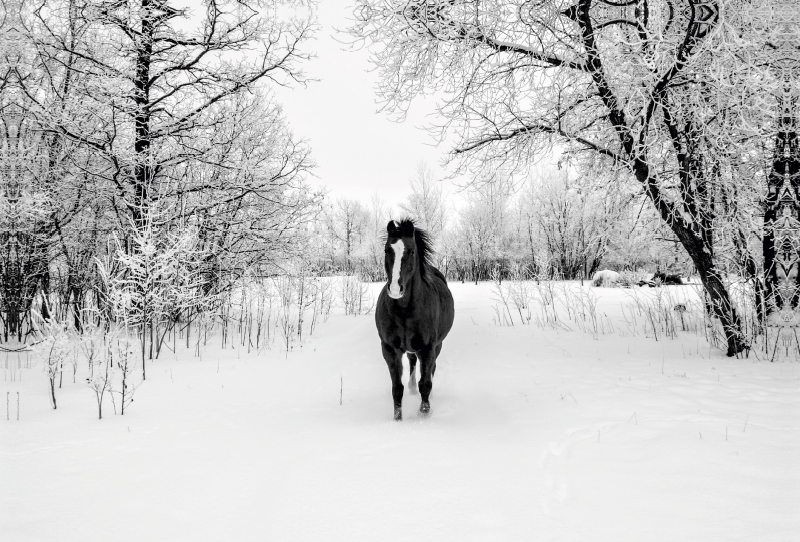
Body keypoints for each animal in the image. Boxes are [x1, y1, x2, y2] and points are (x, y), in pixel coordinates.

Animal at [374, 219, 454, 422]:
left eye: (411, 251)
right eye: (387, 250)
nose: (395, 289)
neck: (404, 310)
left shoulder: (427, 347)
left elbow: (425, 382)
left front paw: (424, 413)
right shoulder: (389, 348)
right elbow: (397, 388)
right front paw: (397, 418)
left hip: (437, 346)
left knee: (431, 369)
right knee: (411, 361)